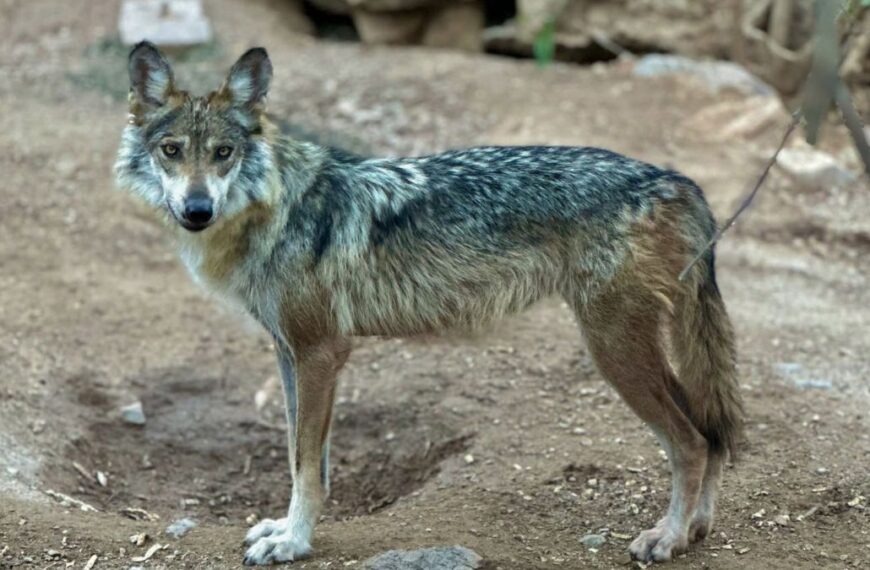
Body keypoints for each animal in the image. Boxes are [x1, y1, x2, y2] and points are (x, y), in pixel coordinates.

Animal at [115, 42, 743, 565]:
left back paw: (667, 538)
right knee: (712, 431)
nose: (197, 209)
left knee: (691, 441)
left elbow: (306, 466)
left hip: (614, 351)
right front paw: (284, 529)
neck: (277, 209)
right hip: (636, 350)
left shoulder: (320, 353)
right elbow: (302, 457)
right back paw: (697, 529)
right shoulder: (289, 354)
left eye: (223, 153)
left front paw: (293, 543)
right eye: (172, 151)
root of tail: (676, 181)